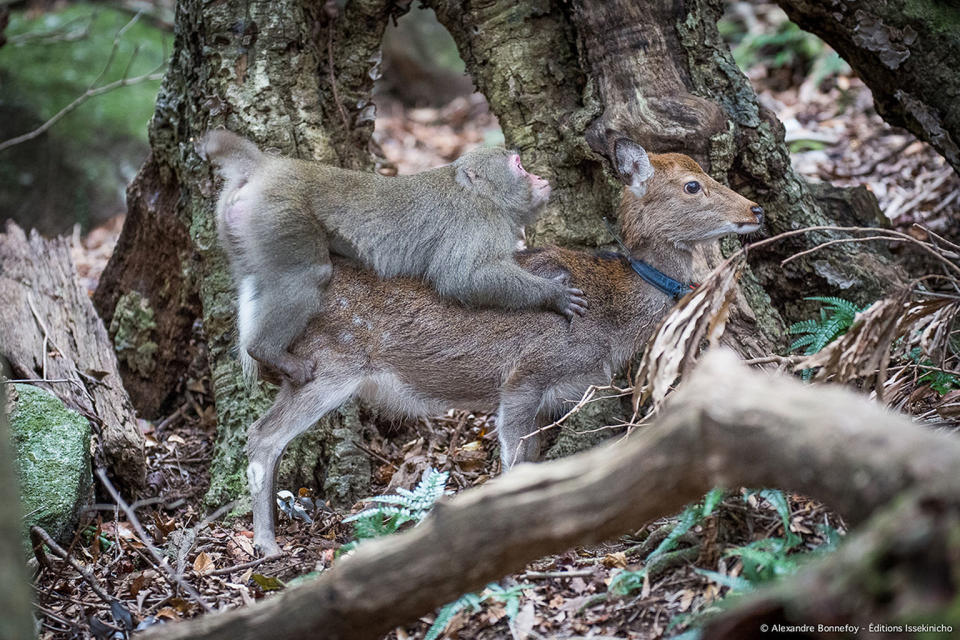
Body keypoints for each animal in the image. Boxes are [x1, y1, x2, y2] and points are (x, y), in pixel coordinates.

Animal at [242, 139, 764, 556]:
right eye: (693, 186)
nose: (755, 209)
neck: (609, 319)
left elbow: (531, 462)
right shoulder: (525, 374)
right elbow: (513, 464)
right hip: (328, 364)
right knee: (263, 436)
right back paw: (267, 545)